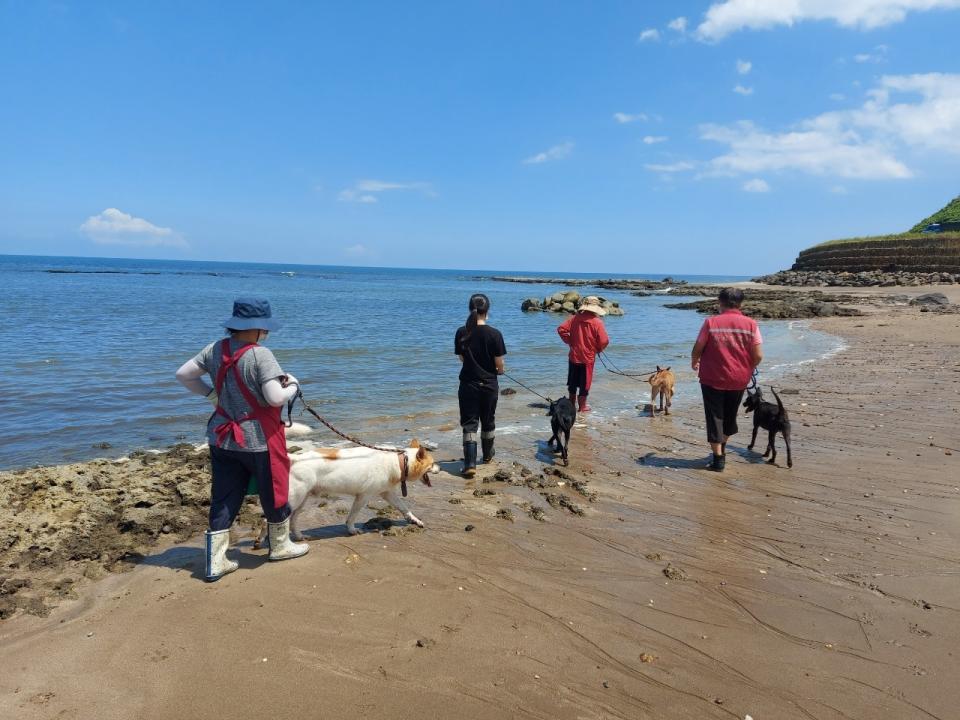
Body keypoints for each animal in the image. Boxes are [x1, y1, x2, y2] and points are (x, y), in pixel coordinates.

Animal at [258, 436, 438, 544]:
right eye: (432, 464)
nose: (439, 468)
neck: (401, 461)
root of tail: (297, 457)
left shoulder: (387, 493)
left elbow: (404, 508)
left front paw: (415, 520)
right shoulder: (363, 497)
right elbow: (352, 516)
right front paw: (351, 530)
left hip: (303, 500)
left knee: (293, 520)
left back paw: (299, 536)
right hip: (294, 499)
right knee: (268, 519)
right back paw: (263, 540)